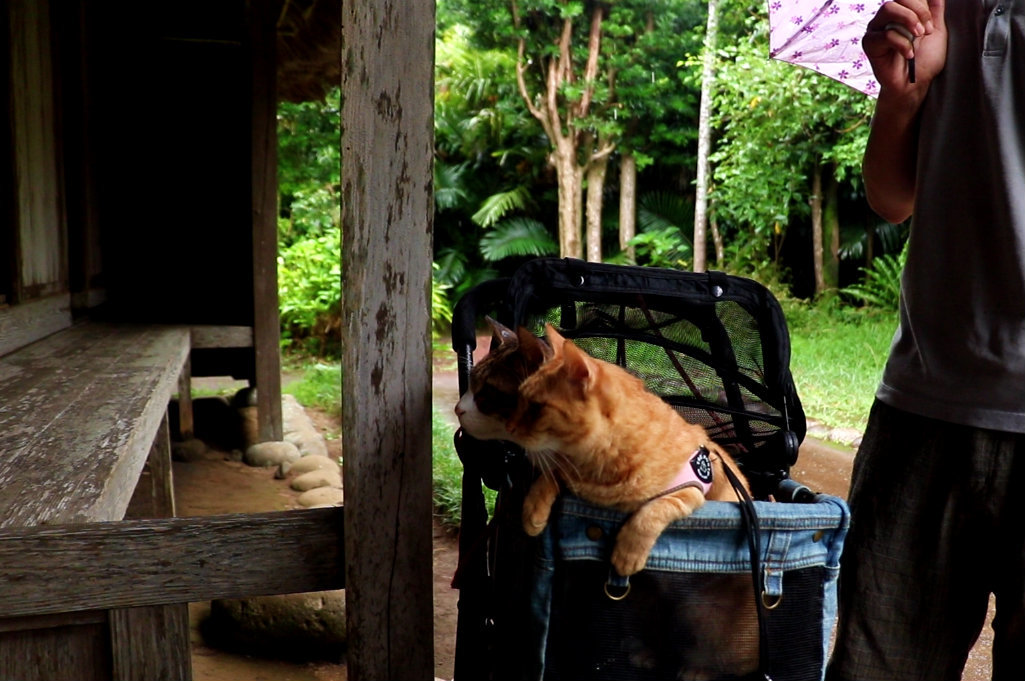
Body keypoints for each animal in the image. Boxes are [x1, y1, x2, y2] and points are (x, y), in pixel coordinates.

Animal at [508, 322, 750, 578]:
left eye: (536, 408)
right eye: (520, 399)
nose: (509, 427)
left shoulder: (691, 490)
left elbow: (653, 511)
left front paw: (627, 554)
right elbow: (552, 472)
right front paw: (533, 509)